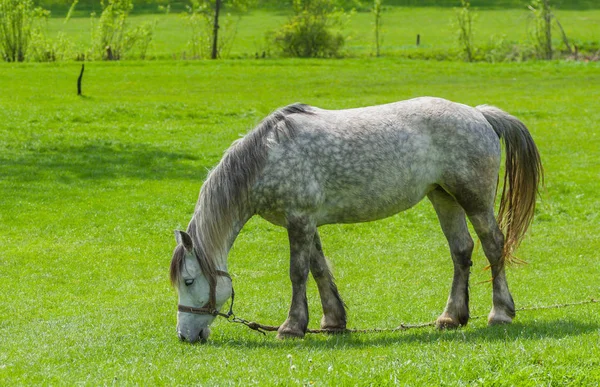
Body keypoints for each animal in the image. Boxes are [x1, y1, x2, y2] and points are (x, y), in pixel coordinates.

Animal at [170, 97, 544, 342]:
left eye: (188, 281)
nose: (185, 335)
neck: (268, 157)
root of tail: (479, 115)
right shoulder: (306, 222)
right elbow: (319, 270)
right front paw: (333, 321)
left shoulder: (299, 220)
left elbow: (298, 273)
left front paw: (291, 327)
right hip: (443, 197)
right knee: (462, 251)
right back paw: (452, 317)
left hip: (473, 200)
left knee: (493, 245)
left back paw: (500, 313)